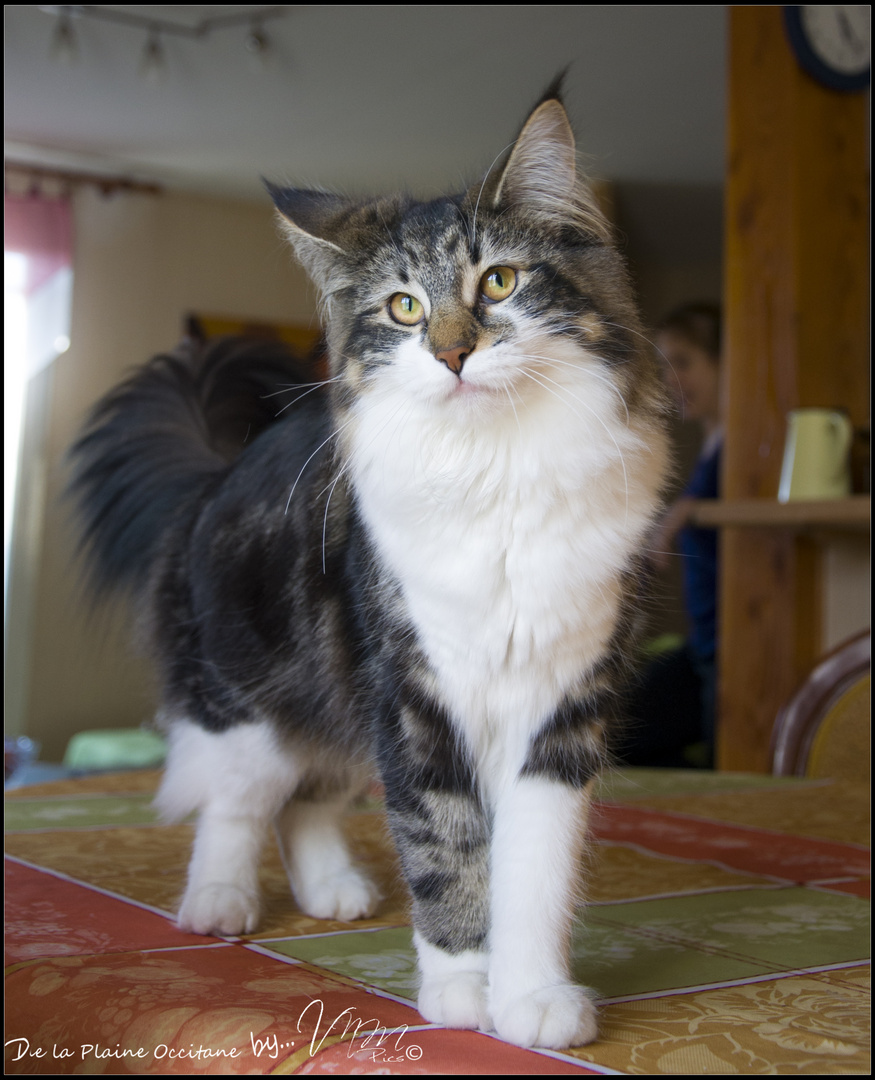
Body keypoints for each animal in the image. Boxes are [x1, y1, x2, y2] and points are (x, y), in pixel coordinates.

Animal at [68, 86, 669, 1054]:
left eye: (498, 282)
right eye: (402, 308)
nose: (453, 352)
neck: (496, 470)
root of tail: (218, 473)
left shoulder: (560, 708)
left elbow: (533, 870)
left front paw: (532, 998)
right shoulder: (415, 701)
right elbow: (445, 850)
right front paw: (460, 991)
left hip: (340, 710)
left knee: (304, 803)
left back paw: (332, 891)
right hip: (255, 702)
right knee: (238, 804)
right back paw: (219, 904)